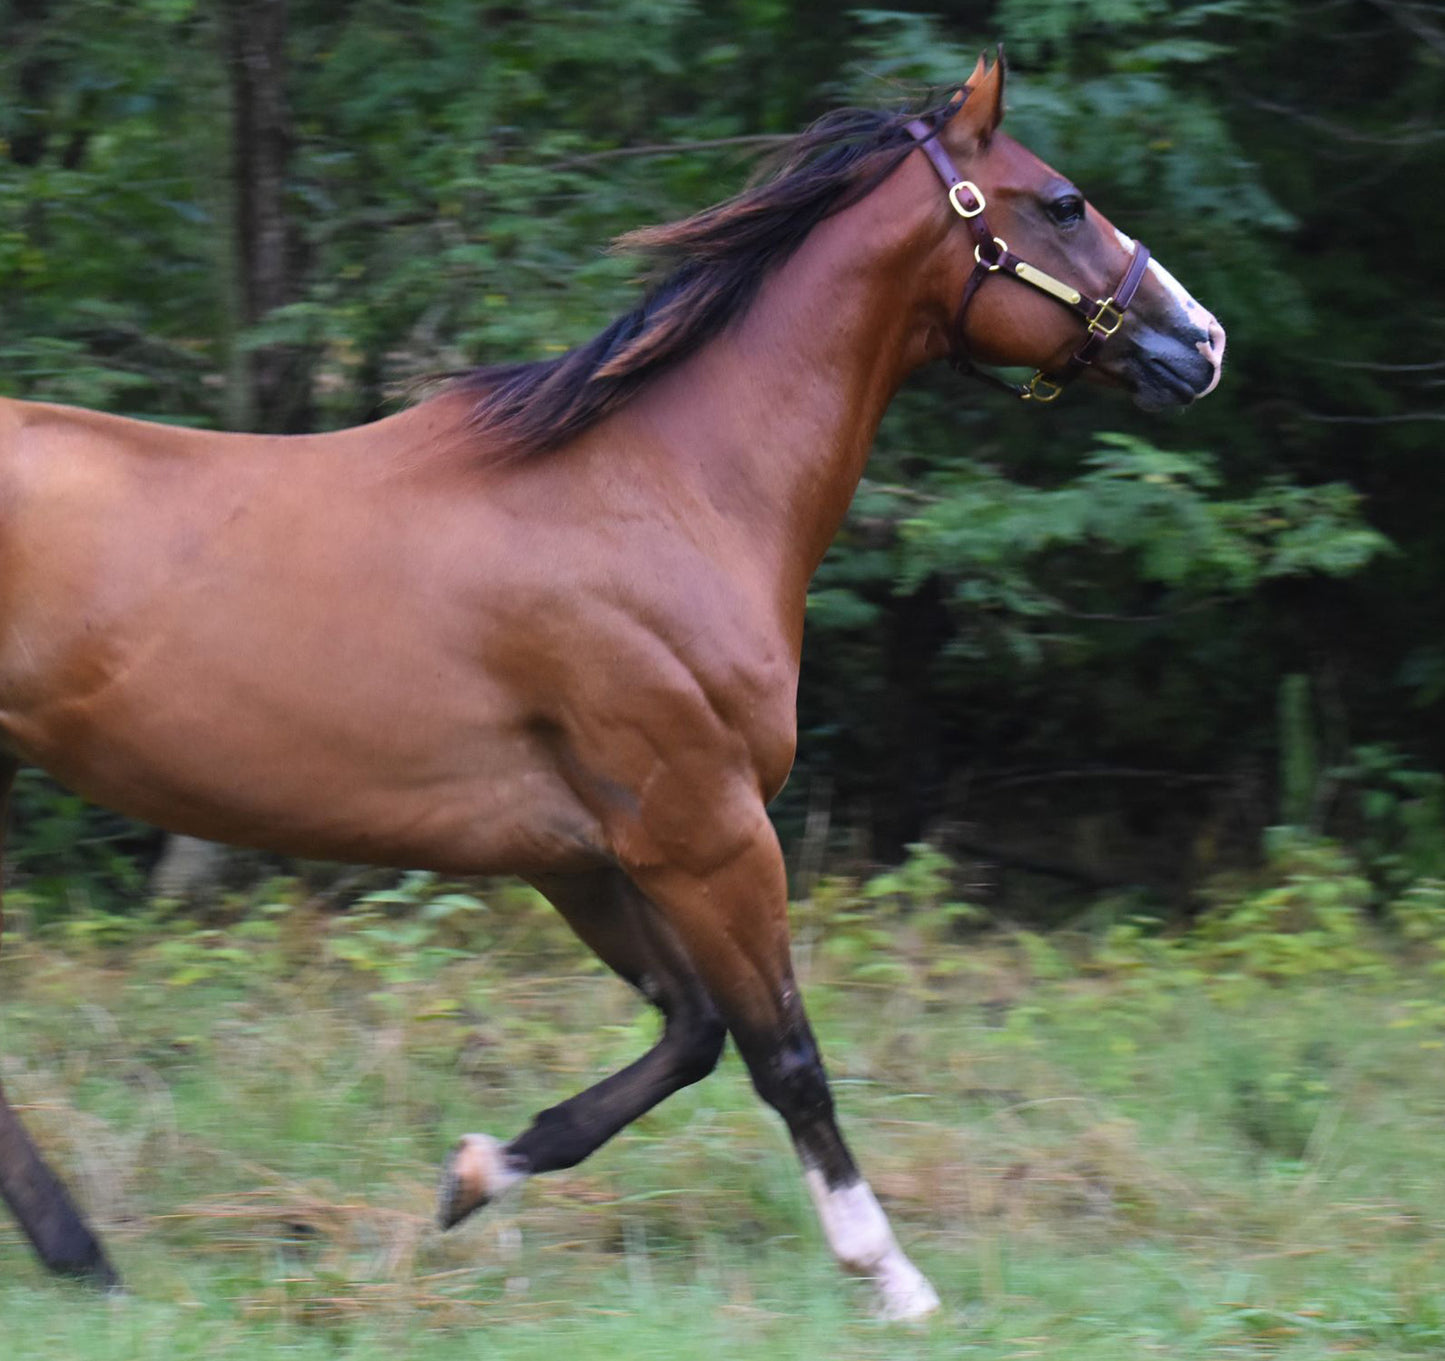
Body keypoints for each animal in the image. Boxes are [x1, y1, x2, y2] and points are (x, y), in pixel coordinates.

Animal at [0, 55, 1224, 1319]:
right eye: (1062, 203)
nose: (1203, 342)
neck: (663, 491)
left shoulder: (579, 855)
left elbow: (692, 1034)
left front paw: (474, 1173)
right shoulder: (709, 834)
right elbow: (783, 1053)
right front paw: (890, 1277)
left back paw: (84, 1257)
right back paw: (82, 1255)